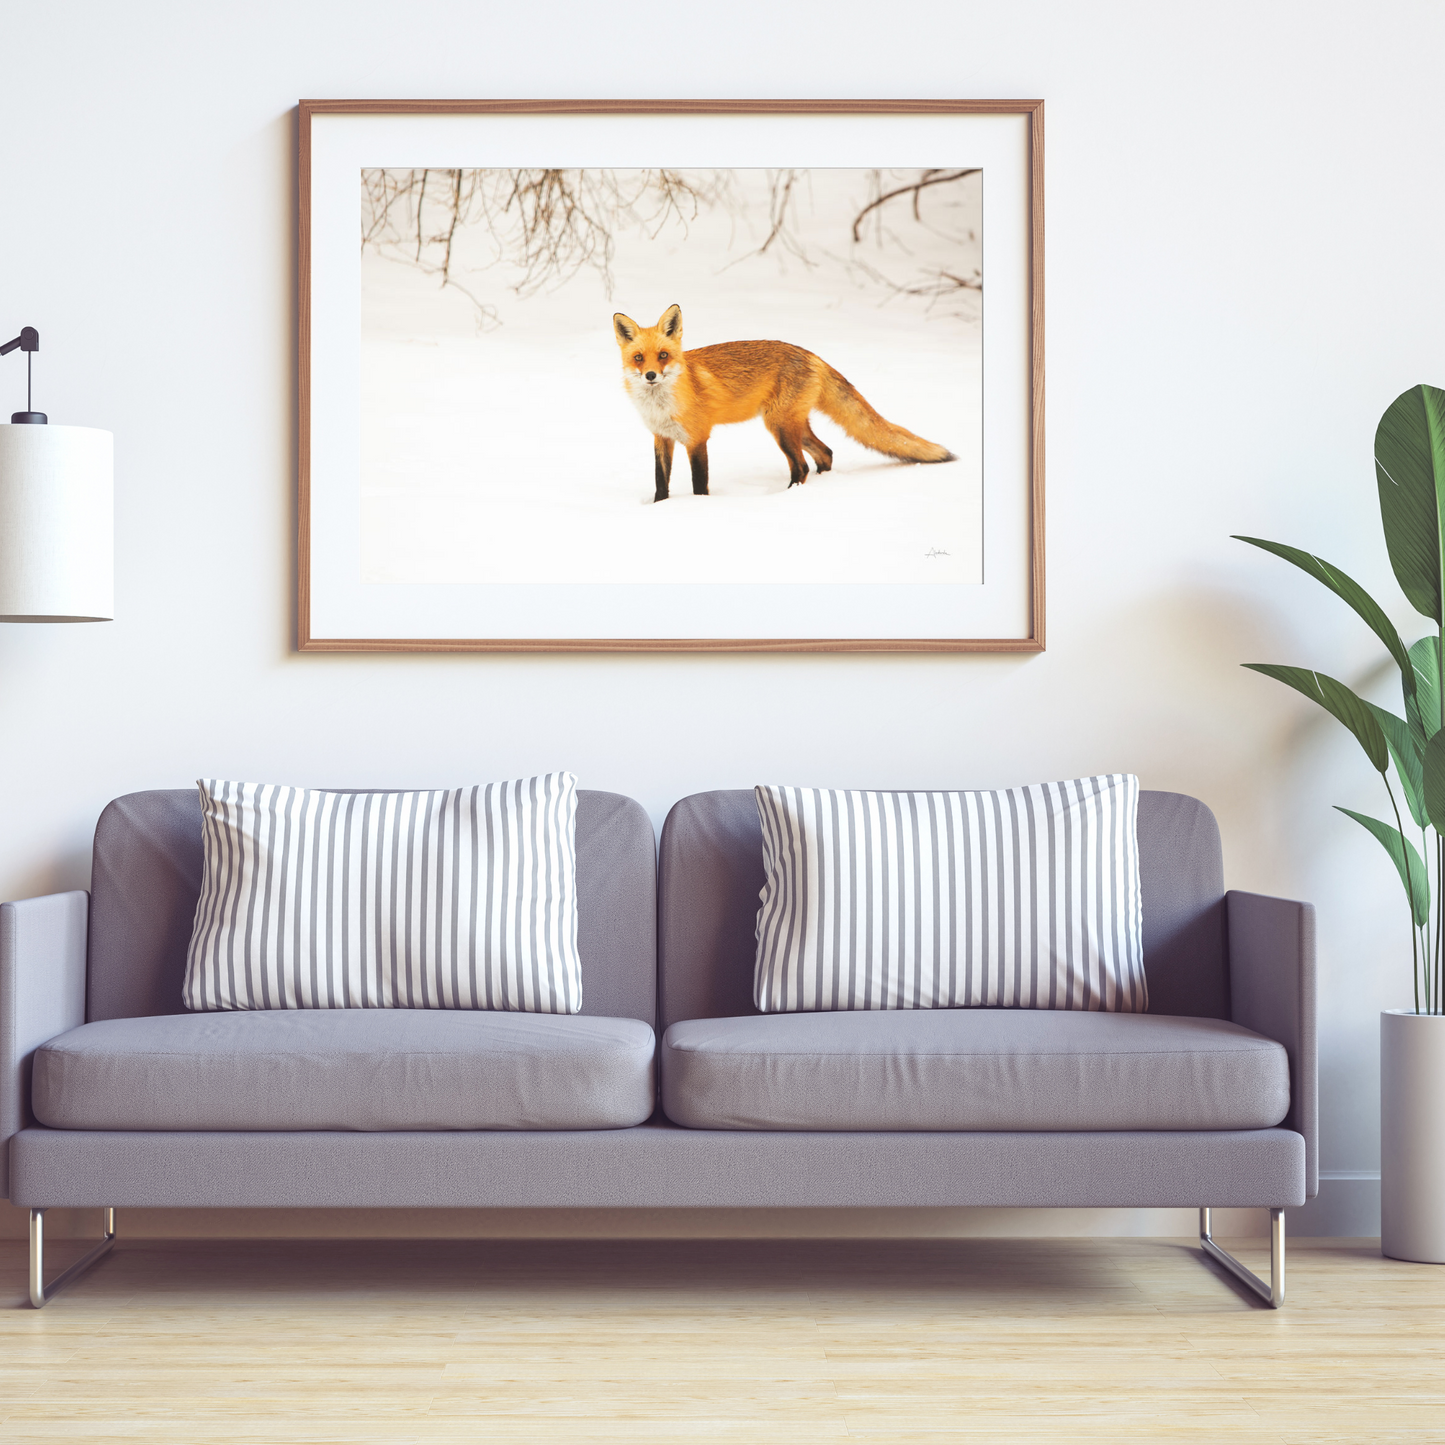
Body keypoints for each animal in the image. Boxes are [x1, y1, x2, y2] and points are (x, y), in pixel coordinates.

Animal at [612, 304, 955, 502]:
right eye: (639, 358)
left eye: (664, 355)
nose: (651, 375)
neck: (661, 406)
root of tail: (811, 354)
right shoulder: (662, 438)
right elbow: (660, 483)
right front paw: (660, 508)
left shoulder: (697, 438)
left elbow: (699, 484)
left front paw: (697, 509)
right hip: (793, 426)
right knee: (826, 454)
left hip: (779, 427)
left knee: (801, 465)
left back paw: (785, 501)